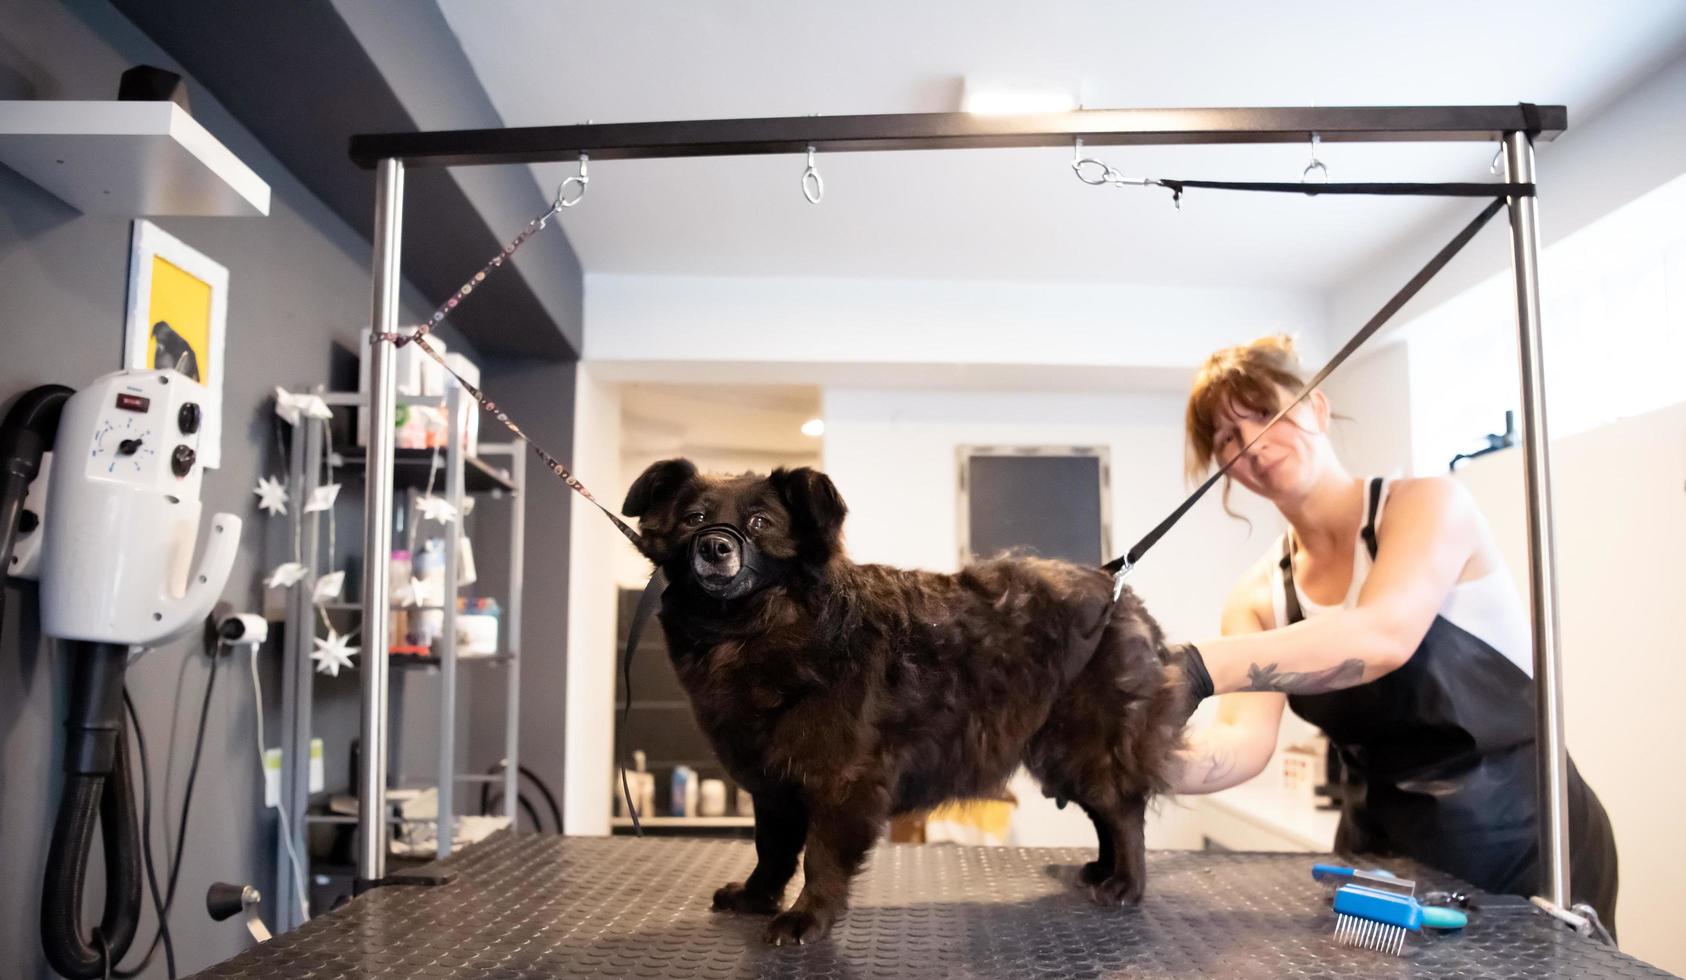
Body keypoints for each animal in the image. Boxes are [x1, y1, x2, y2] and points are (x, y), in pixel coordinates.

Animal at [627, 462, 1193, 944]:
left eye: (760, 522)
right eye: (694, 519)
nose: (714, 546)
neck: (755, 629)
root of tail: (1121, 592)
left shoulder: (842, 782)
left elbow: (821, 856)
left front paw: (808, 916)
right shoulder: (772, 785)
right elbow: (772, 850)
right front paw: (756, 897)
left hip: (1086, 745)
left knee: (1123, 812)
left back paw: (1125, 883)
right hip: (1062, 754)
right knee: (1105, 813)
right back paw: (1102, 870)